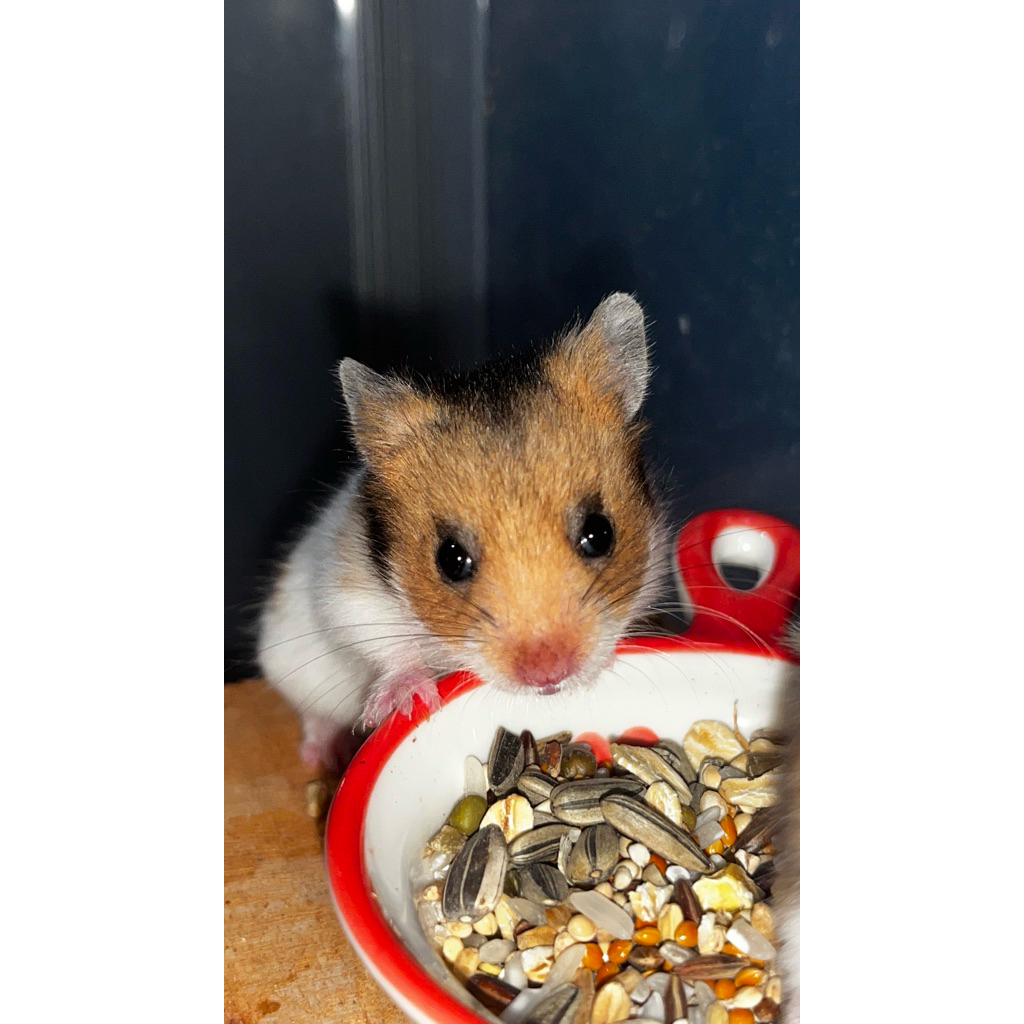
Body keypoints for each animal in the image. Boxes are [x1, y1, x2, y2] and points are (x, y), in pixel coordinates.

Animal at [257, 293, 671, 773]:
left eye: (600, 533)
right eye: (451, 559)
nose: (549, 676)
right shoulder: (346, 594)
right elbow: (385, 645)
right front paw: (409, 701)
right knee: (314, 716)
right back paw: (323, 756)